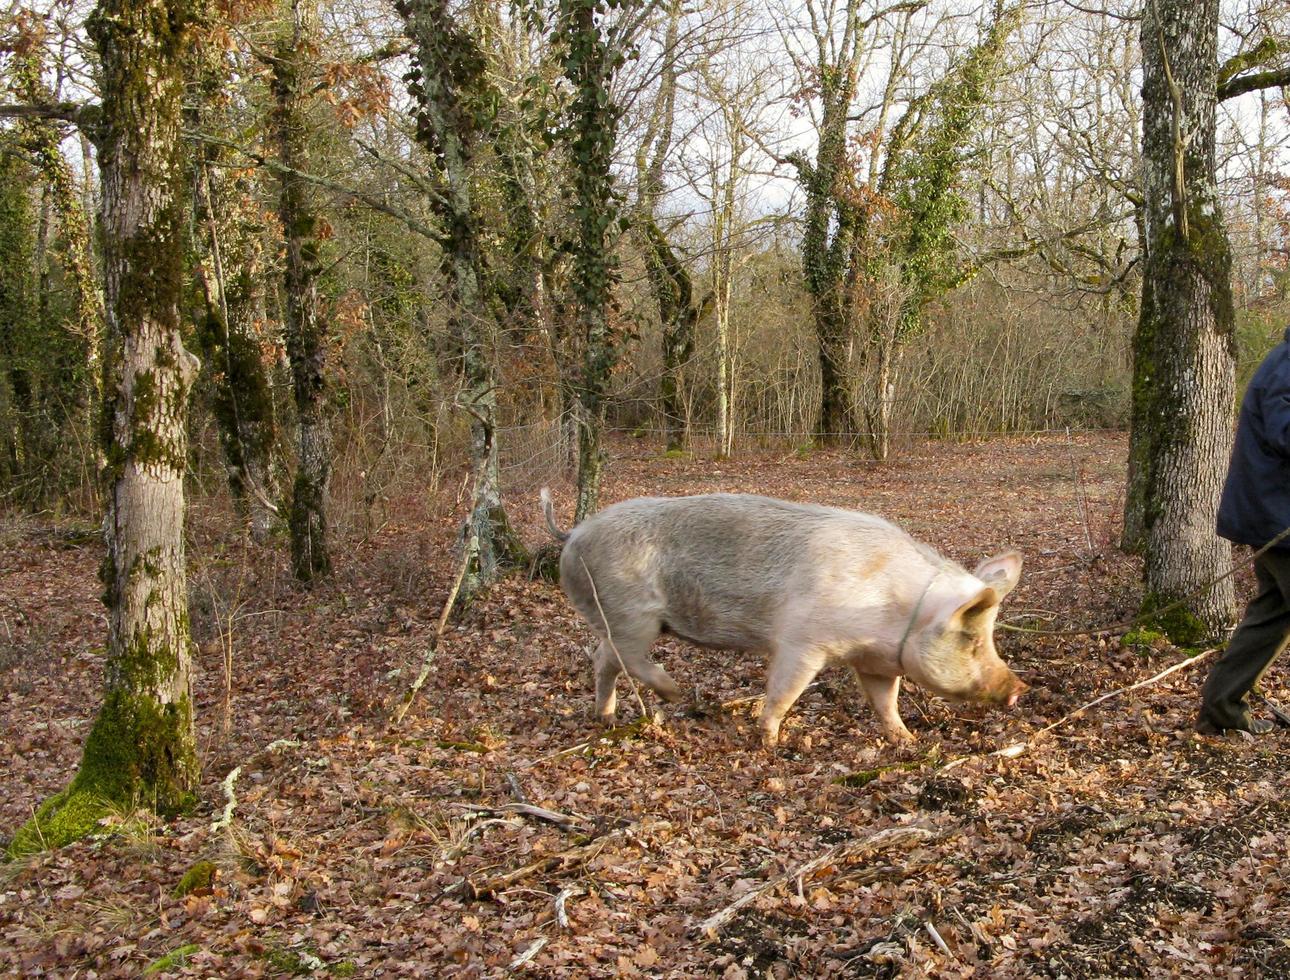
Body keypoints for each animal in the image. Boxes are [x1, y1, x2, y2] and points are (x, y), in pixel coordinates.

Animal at [539, 487, 1021, 747]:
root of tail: (575, 532)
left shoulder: (875, 662)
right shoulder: (802, 643)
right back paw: (676, 695)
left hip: (617, 619)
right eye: (973, 639)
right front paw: (769, 740)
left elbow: (886, 702)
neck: (900, 610)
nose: (1019, 688)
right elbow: (784, 692)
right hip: (631, 615)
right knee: (624, 658)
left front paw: (907, 740)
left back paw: (607, 718)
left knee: (603, 660)